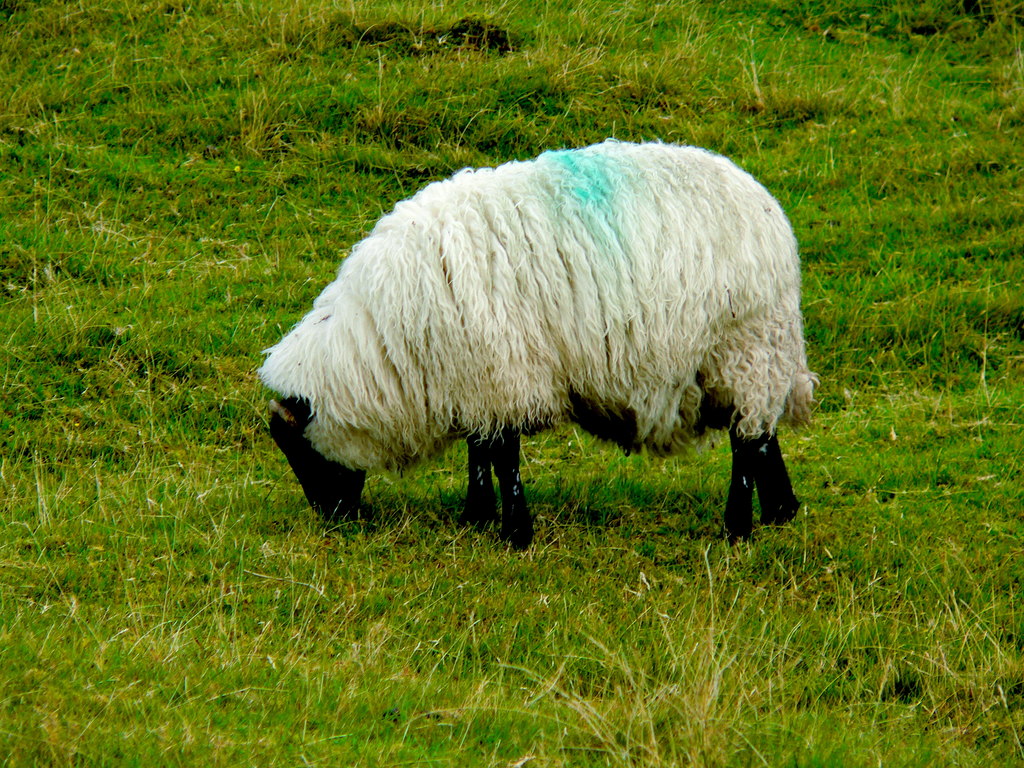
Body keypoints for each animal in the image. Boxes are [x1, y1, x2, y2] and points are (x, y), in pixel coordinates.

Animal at [260, 138, 819, 548]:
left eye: (299, 450)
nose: (334, 518)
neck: (379, 344)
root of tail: (767, 209)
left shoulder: (501, 369)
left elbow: (502, 455)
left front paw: (514, 533)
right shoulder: (478, 377)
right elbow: (481, 449)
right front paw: (477, 515)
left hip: (745, 345)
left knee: (747, 442)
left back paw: (737, 528)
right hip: (755, 356)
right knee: (763, 434)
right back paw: (781, 510)